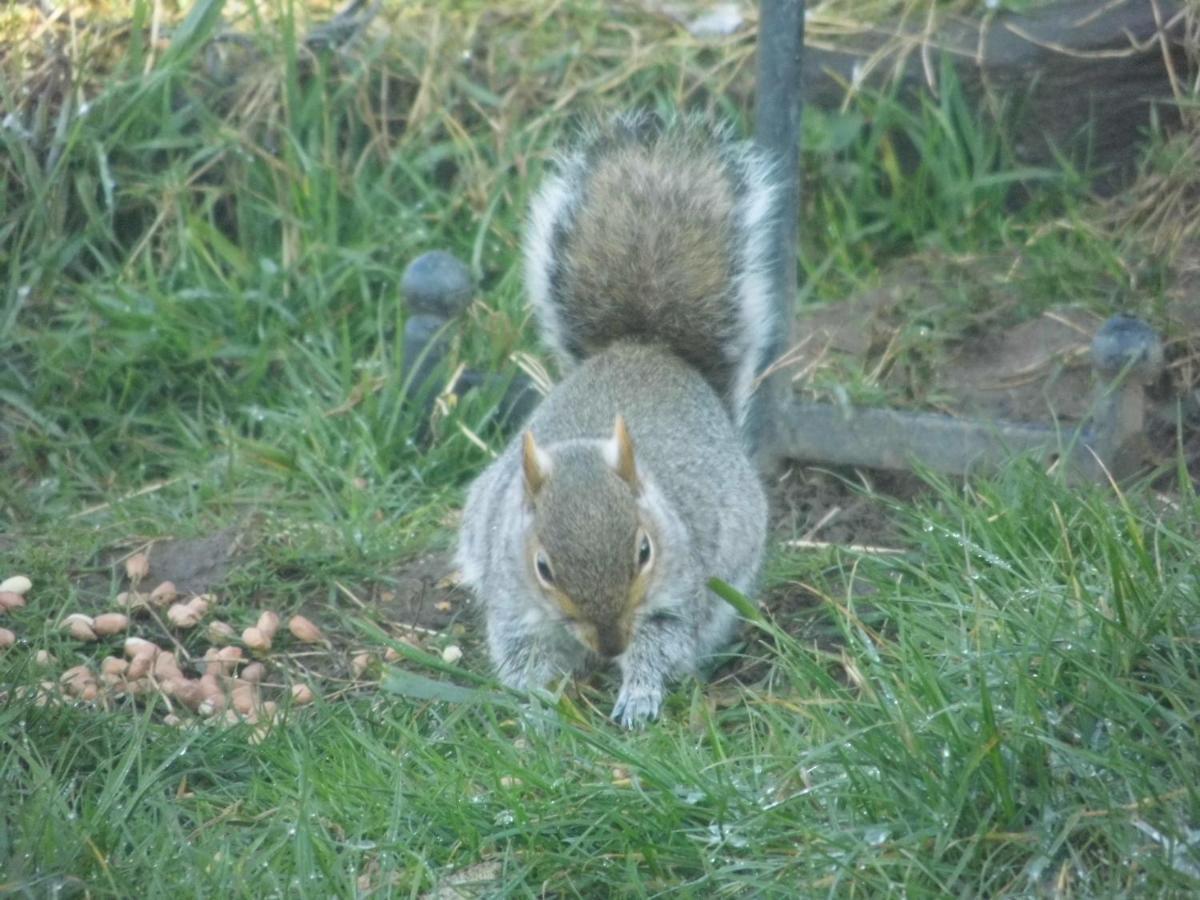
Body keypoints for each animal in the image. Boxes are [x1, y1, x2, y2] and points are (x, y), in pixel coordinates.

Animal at [456, 112, 777, 729]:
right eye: (543, 567)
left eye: (644, 551)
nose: (609, 645)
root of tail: (644, 347)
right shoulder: (513, 605)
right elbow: (522, 658)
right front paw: (538, 710)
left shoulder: (678, 595)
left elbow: (662, 645)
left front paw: (639, 696)